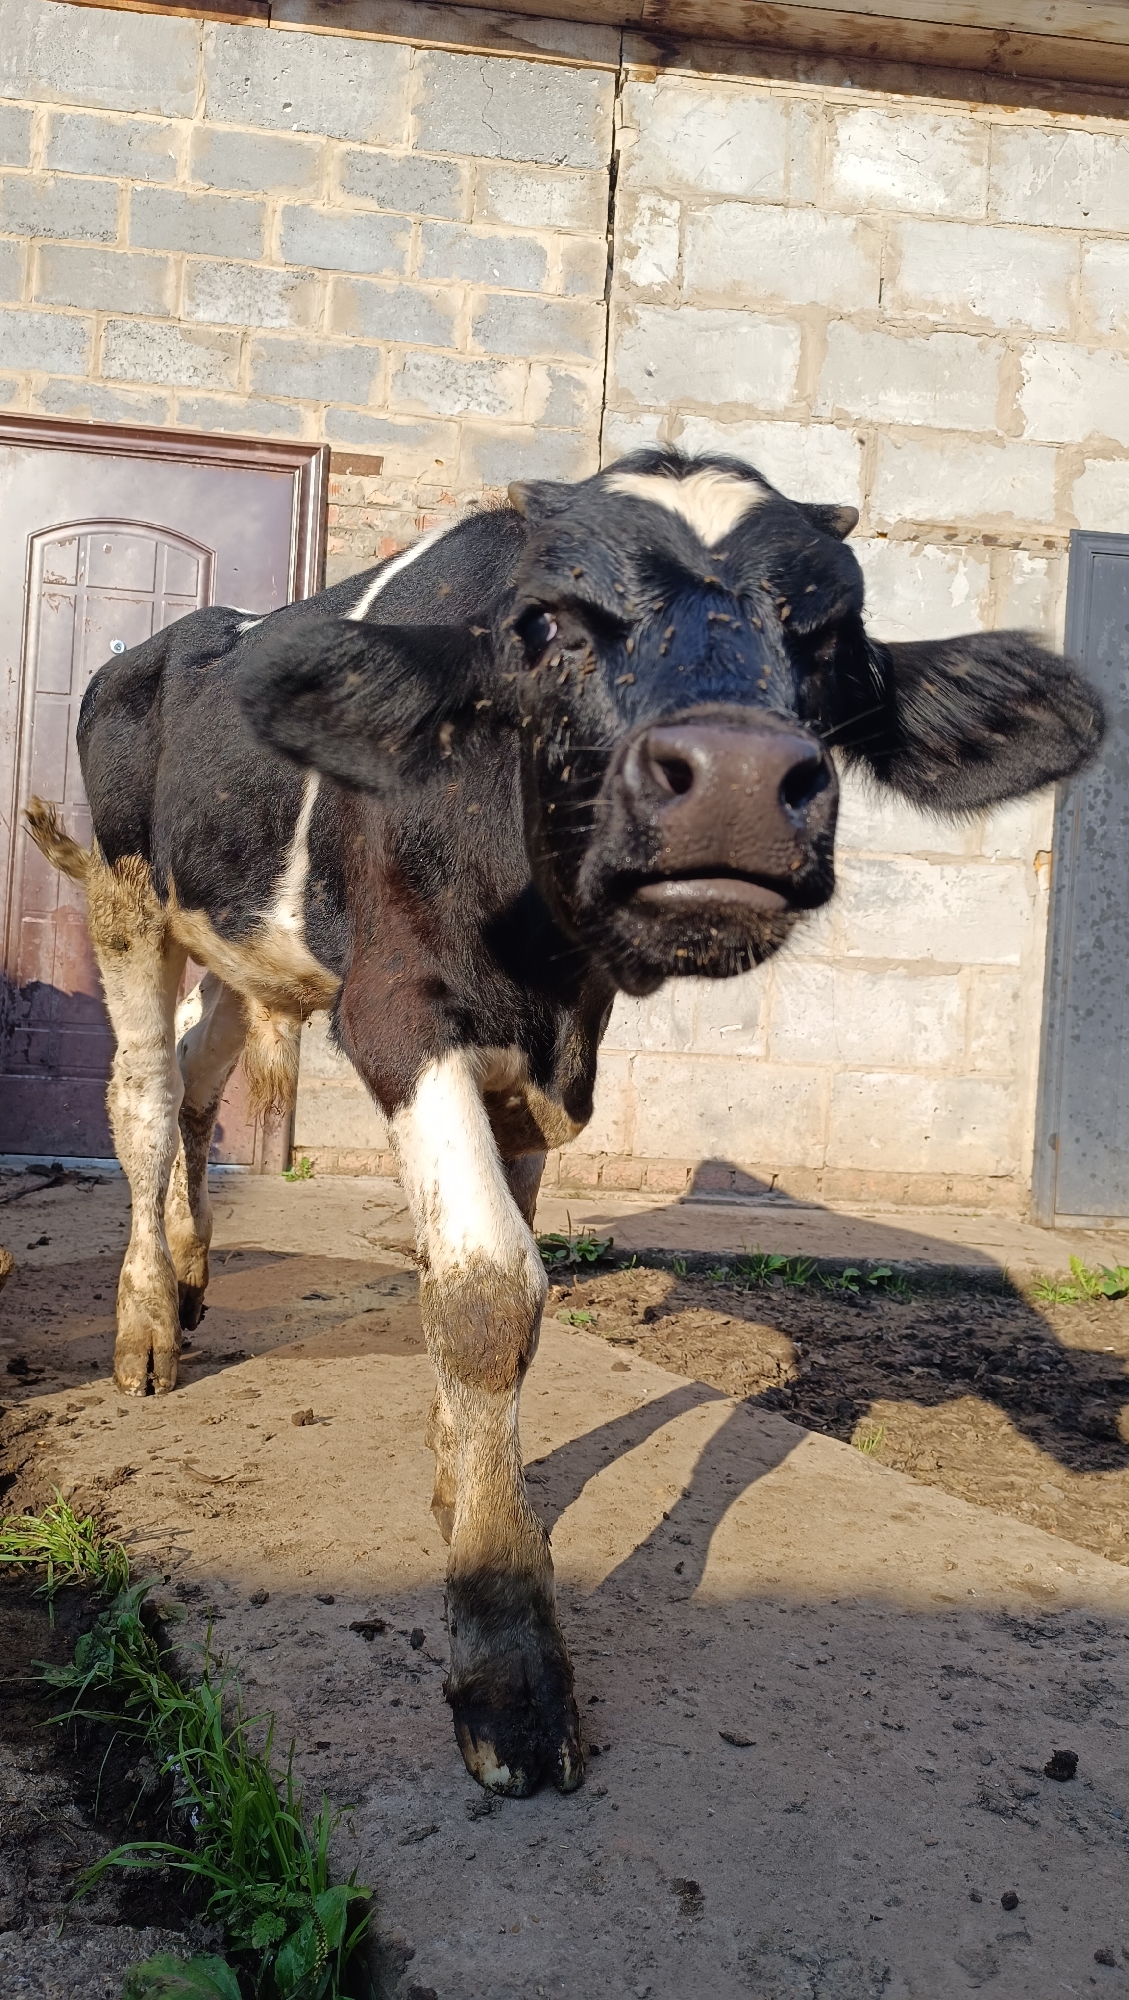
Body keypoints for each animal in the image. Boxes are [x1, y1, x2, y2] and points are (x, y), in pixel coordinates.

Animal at [28, 448, 1102, 1798]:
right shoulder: (397, 1010)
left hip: (242, 945)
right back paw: (143, 1328)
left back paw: (189, 1271)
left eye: (832, 635)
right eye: (543, 626)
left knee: (200, 1071)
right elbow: (488, 1286)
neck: (546, 960)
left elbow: (482, 1273)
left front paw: (463, 1484)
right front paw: (507, 1650)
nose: (736, 782)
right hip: (129, 896)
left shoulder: (547, 1063)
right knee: (142, 1093)